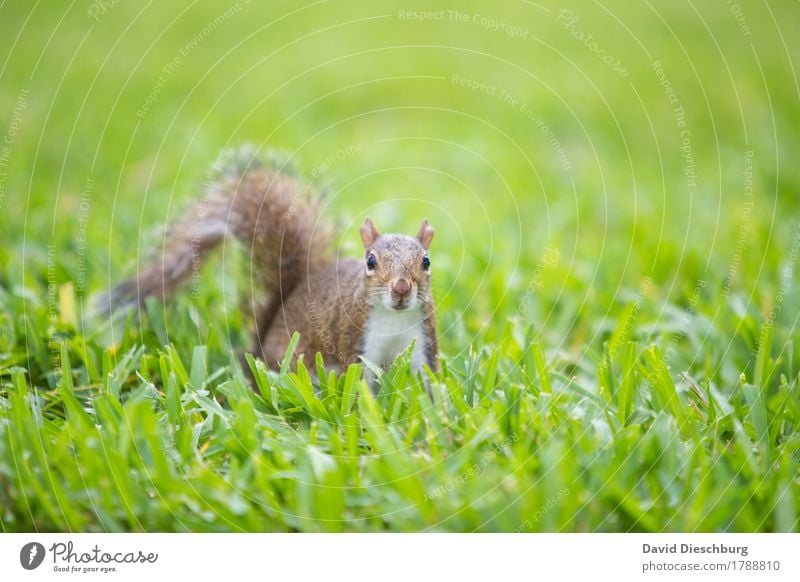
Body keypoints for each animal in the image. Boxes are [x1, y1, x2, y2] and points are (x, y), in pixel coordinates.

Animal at [101, 148, 440, 390]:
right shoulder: (354, 339)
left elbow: (427, 385)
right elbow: (359, 388)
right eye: (370, 261)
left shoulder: (422, 342)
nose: (401, 289)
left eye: (426, 261)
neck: (394, 318)